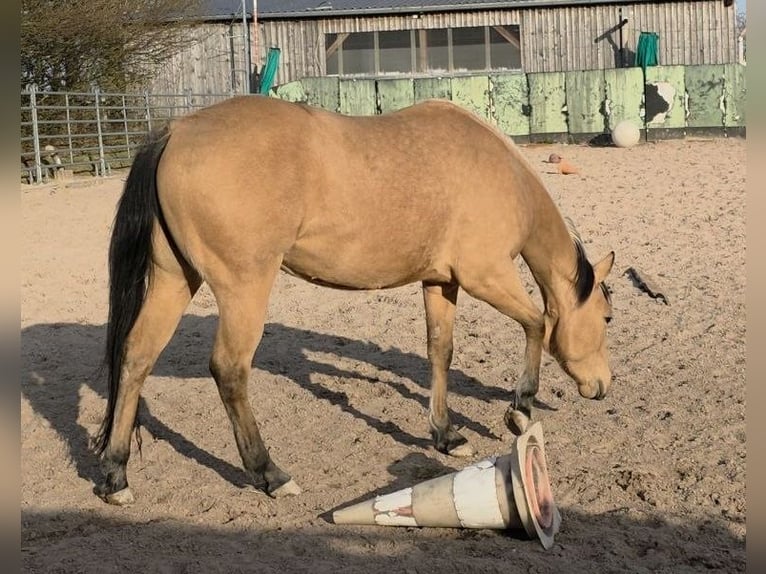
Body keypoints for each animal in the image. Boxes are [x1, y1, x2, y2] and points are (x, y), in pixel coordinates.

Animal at [93, 95, 614, 505]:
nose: (602, 386)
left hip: (173, 279)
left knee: (136, 358)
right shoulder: (485, 275)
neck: (502, 174)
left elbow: (440, 352)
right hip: (244, 289)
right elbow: (537, 323)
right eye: (608, 317)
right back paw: (269, 473)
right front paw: (519, 408)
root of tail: (177, 131)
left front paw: (446, 434)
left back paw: (116, 475)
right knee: (229, 371)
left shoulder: (440, 282)